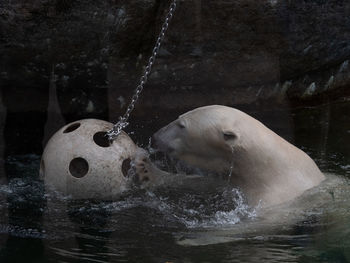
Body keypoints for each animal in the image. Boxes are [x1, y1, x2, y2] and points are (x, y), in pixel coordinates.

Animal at [136, 105, 326, 208]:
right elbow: (202, 183)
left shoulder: (272, 200)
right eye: (178, 117)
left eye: (182, 125)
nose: (155, 137)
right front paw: (147, 171)